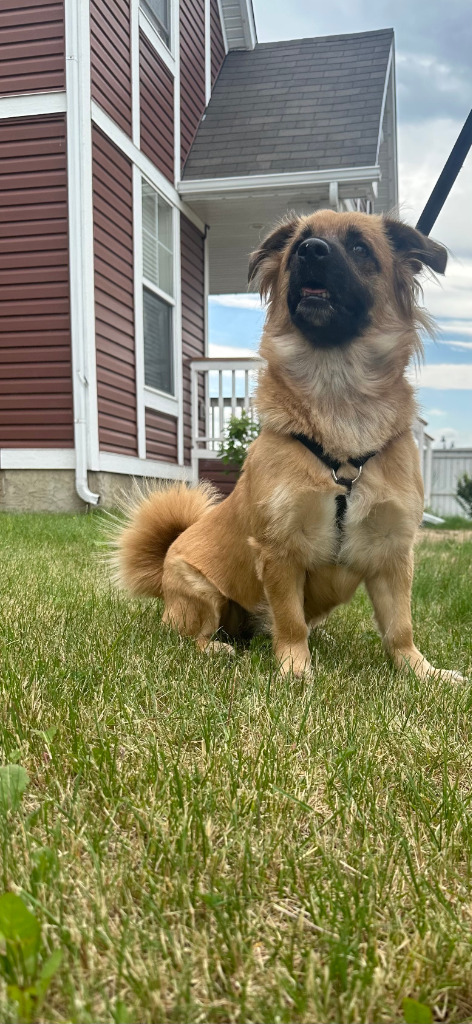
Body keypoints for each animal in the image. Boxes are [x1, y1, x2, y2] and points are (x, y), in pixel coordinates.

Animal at [115, 208, 462, 684]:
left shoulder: (392, 552)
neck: (338, 391)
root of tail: (169, 554)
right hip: (199, 592)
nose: (310, 251)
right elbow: (291, 620)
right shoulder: (281, 548)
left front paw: (421, 672)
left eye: (360, 247)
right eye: (299, 241)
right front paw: (296, 671)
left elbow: (400, 627)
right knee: (196, 635)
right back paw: (218, 647)